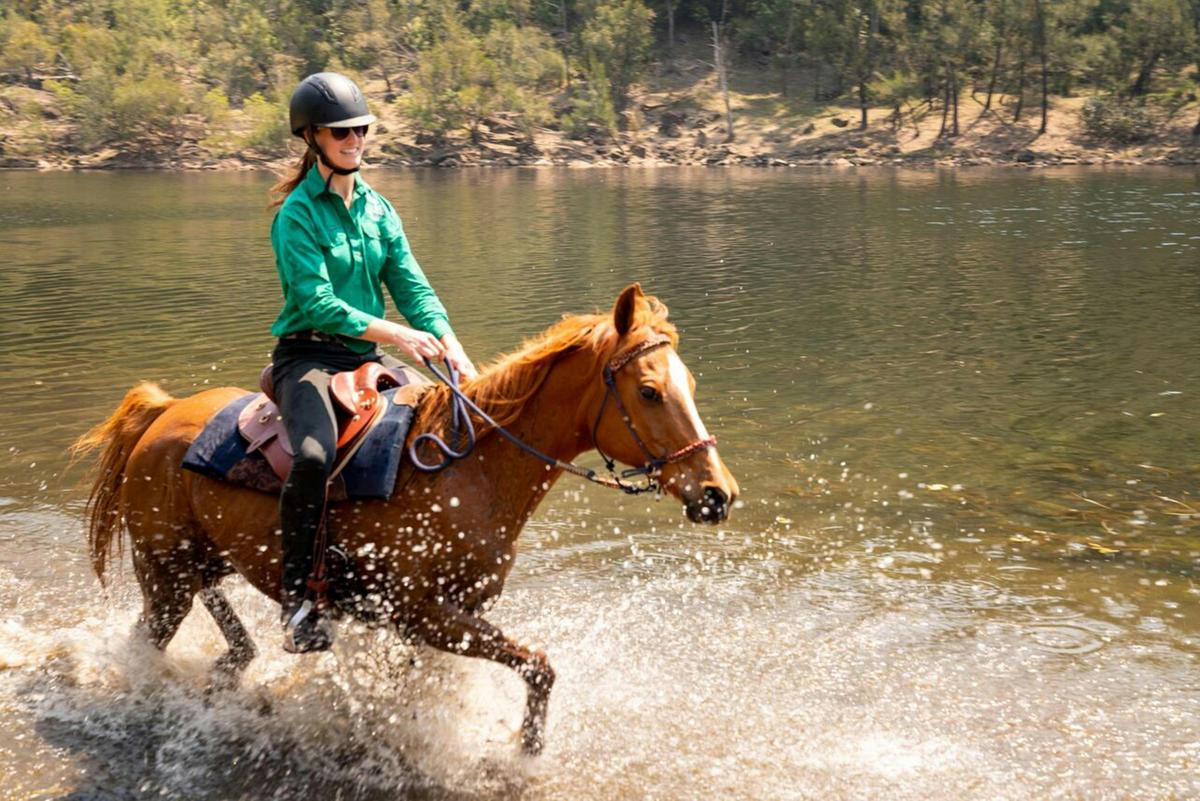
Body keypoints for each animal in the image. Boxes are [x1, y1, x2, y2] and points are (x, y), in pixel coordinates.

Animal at [72, 283, 739, 754]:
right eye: (649, 391)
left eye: (690, 381)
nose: (718, 494)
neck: (472, 471)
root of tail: (162, 413)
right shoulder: (424, 614)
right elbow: (539, 665)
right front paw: (524, 751)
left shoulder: (440, 618)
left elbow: (421, 686)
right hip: (164, 572)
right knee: (146, 639)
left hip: (198, 565)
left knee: (218, 620)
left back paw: (231, 664)